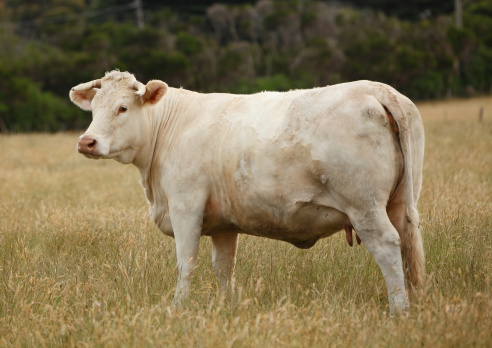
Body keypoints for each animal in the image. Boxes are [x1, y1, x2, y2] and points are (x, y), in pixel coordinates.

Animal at [71, 70, 424, 316]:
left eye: (122, 108)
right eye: (94, 109)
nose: (86, 142)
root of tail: (375, 89)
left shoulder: (185, 207)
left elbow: (186, 263)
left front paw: (177, 307)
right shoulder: (223, 225)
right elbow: (224, 267)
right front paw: (227, 307)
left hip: (365, 207)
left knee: (388, 247)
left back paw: (399, 310)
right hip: (401, 203)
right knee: (409, 246)